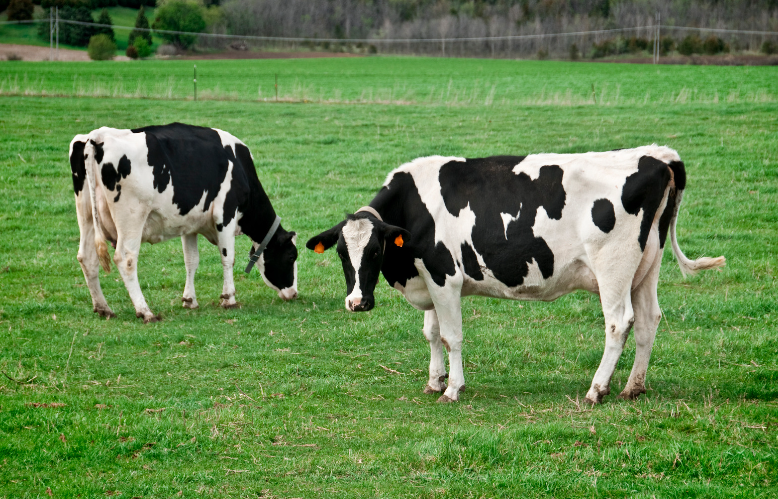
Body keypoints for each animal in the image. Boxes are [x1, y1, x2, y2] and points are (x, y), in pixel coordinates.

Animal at [69, 123, 298, 323]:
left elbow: (191, 260)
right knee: (126, 259)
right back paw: (145, 311)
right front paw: (229, 298)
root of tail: (98, 136)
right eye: (291, 256)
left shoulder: (190, 224)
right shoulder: (225, 215)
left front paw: (189, 300)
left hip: (86, 214)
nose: (294, 293)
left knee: (87, 257)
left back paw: (103, 308)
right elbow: (228, 258)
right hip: (131, 217)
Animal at [306, 146, 725, 404]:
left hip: (614, 267)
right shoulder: (430, 278)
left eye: (375, 251)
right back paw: (632, 387)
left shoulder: (445, 277)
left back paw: (596, 389)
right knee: (649, 321)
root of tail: (658, 156)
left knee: (619, 323)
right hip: (646, 267)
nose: (357, 302)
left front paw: (452, 388)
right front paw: (433, 381)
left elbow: (451, 336)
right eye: (342, 252)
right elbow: (431, 334)